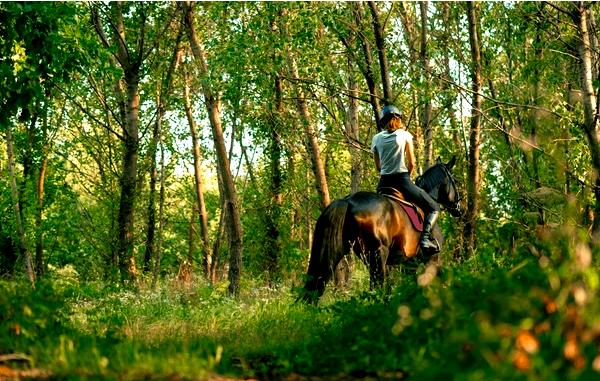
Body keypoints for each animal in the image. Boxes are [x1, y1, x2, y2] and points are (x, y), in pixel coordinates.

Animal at [300, 155, 464, 302]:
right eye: (455, 181)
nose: (459, 209)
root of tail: (349, 200)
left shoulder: (409, 264)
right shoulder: (432, 259)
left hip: (351, 251)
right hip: (378, 253)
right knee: (376, 287)